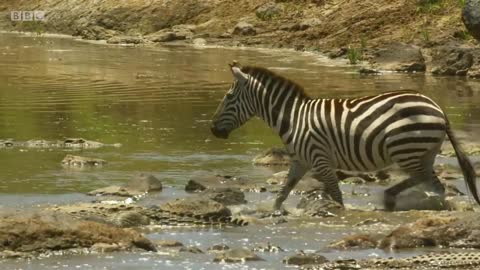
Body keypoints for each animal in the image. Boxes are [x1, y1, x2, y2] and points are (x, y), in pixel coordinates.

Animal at [211, 60, 480, 211]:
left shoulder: (320, 160)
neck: (294, 118)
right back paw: (393, 198)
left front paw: (339, 215)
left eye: (228, 97)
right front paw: (270, 213)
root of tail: (437, 108)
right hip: (422, 153)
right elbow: (283, 192)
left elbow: (336, 196)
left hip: (407, 149)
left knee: (431, 183)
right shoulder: (300, 161)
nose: (213, 130)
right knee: (426, 180)